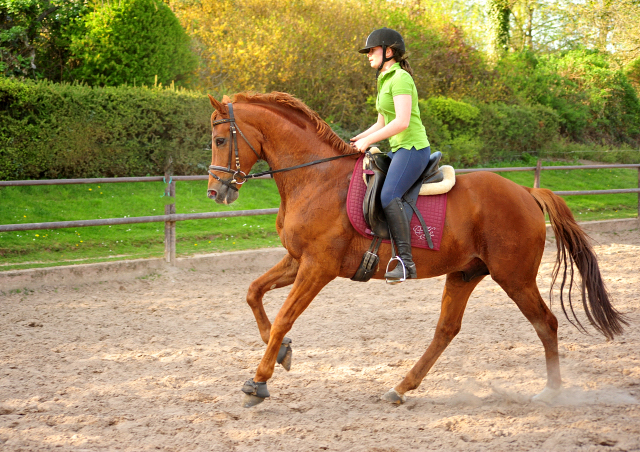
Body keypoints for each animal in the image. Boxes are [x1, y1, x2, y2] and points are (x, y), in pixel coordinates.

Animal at [208, 91, 628, 406]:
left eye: (220, 140)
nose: (216, 192)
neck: (316, 177)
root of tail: (526, 191)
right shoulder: (299, 261)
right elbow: (253, 293)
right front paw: (281, 352)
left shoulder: (318, 267)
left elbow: (283, 318)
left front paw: (258, 383)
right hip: (465, 273)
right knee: (446, 329)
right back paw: (401, 387)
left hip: (515, 277)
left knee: (546, 323)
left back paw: (552, 392)